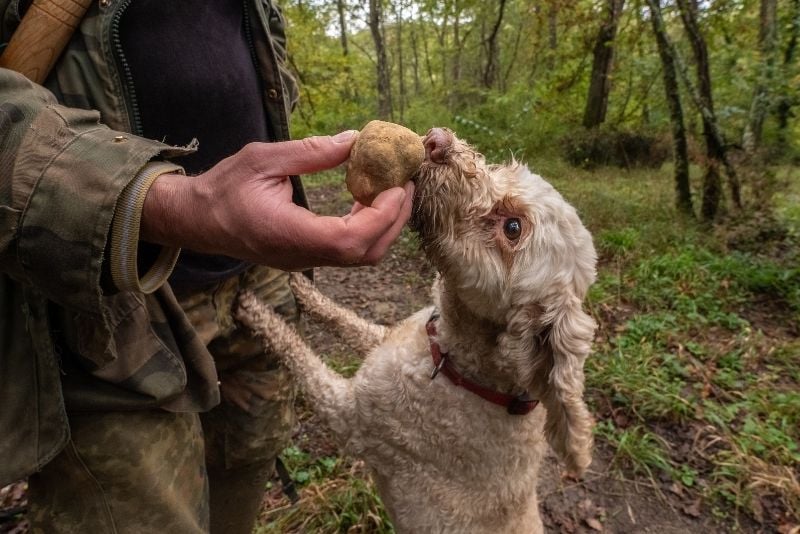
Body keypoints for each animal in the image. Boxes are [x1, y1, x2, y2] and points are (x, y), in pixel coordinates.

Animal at [234, 127, 596, 532]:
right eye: (503, 168)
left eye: (513, 228)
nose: (438, 140)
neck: (453, 364)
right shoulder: (386, 339)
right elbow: (344, 319)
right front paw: (301, 287)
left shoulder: (351, 416)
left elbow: (299, 356)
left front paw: (255, 310)